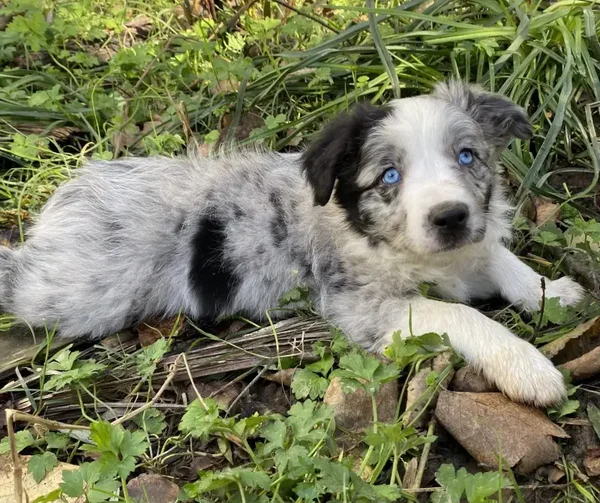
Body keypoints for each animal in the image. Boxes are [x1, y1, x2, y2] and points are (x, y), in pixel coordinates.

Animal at [0, 81, 584, 407]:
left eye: (467, 157)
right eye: (389, 176)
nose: (450, 217)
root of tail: (67, 198)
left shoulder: (470, 244)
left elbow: (498, 255)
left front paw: (550, 290)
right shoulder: (363, 304)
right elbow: (464, 315)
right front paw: (529, 368)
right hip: (76, 292)